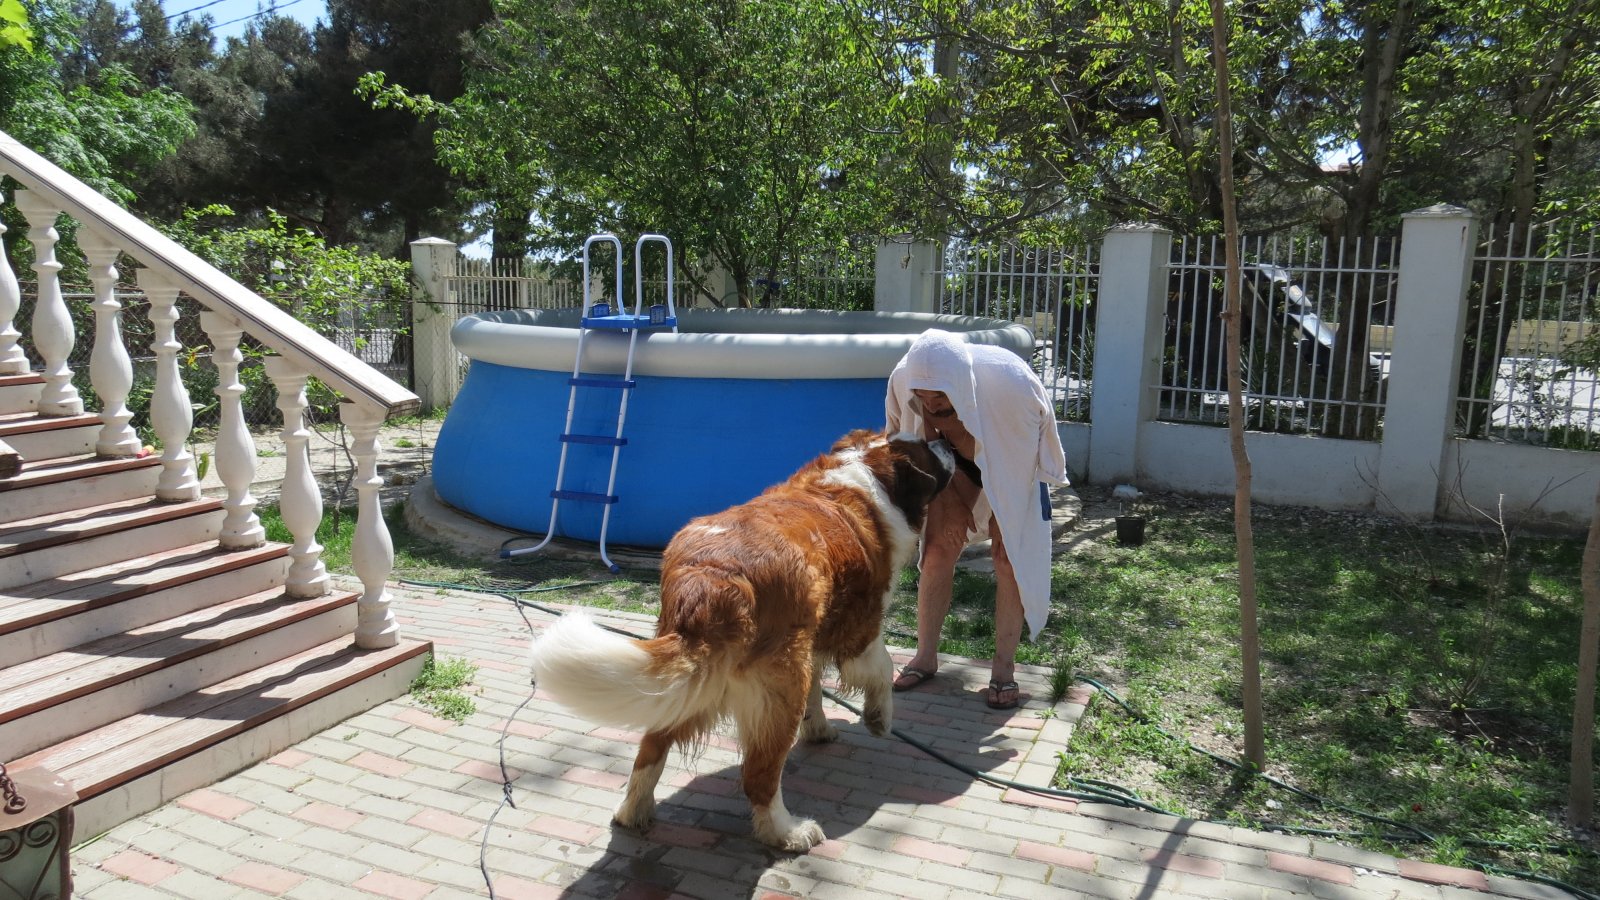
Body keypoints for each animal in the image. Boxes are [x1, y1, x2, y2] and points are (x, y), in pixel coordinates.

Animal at [529, 429, 956, 850]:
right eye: (927, 447)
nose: (948, 441)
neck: (863, 472)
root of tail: (710, 578)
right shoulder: (861, 626)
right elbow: (881, 668)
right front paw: (879, 718)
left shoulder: (814, 636)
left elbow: (819, 688)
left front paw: (819, 728)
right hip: (781, 683)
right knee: (759, 775)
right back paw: (787, 832)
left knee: (652, 745)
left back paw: (634, 810)